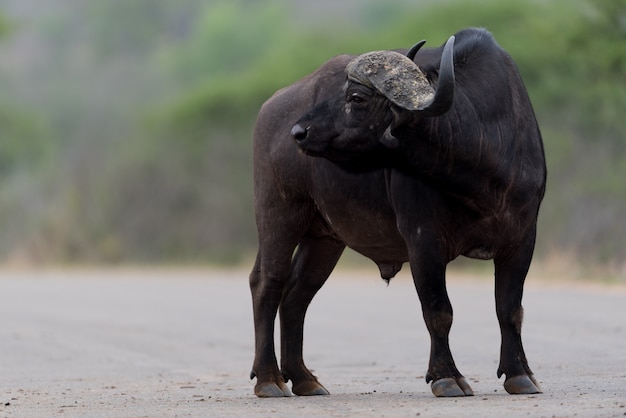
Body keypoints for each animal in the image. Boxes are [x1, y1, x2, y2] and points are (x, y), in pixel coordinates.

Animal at [249, 26, 544, 398]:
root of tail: (270, 108)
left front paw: (520, 373)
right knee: (267, 284)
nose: (299, 131)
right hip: (278, 215)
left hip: (325, 238)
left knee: (296, 294)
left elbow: (509, 309)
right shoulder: (423, 239)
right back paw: (269, 379)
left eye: (356, 98)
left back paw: (304, 378)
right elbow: (438, 310)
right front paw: (447, 377)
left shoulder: (522, 238)